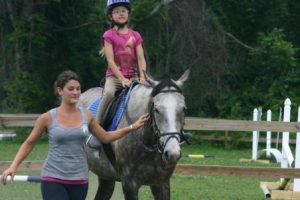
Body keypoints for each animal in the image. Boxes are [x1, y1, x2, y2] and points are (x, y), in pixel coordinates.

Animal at [79, 68, 190, 198]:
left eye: (183, 109)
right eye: (157, 109)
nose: (173, 153)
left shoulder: (162, 183)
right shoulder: (130, 184)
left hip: (105, 175)